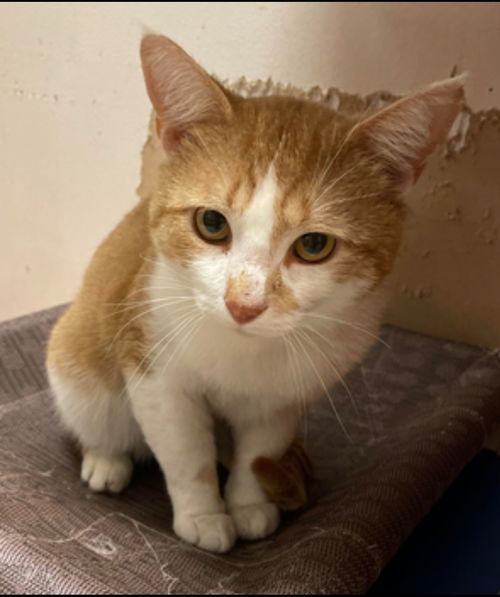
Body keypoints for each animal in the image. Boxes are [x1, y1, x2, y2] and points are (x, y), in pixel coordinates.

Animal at [47, 32, 464, 552]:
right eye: (211, 223)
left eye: (313, 245)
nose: (244, 304)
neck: (241, 353)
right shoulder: (155, 372)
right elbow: (186, 451)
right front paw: (203, 515)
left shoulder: (287, 394)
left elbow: (257, 452)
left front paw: (248, 506)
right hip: (77, 365)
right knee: (94, 416)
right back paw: (105, 459)